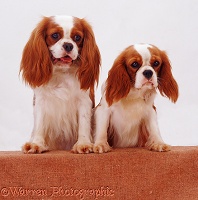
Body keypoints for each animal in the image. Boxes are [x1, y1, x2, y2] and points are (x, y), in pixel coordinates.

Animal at [19, 15, 100, 153]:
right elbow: (39, 124)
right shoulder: (41, 101)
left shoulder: (84, 101)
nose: (68, 45)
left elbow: (83, 124)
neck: (62, 72)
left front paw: (83, 144)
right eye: (55, 35)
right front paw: (36, 144)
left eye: (77, 37)